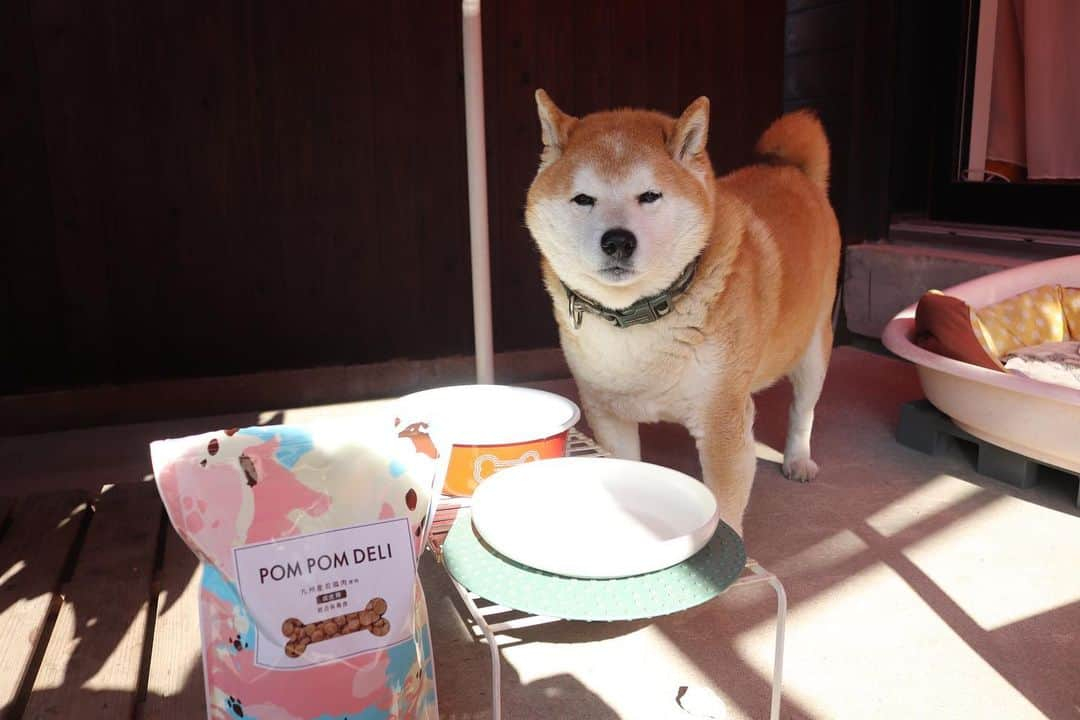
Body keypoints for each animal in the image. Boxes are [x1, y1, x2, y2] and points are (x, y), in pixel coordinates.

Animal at [527, 90, 838, 535]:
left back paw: (797, 459)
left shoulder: (722, 418)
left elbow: (727, 513)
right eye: (584, 199)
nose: (617, 240)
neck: (639, 317)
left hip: (813, 350)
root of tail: (793, 171)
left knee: (802, 410)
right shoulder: (609, 416)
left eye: (649, 196)